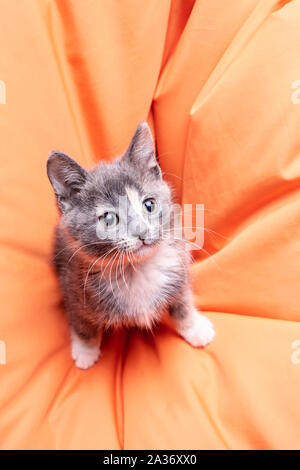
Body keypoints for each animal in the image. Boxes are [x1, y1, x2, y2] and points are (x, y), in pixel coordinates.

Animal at [47, 123, 214, 370]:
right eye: (108, 218)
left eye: (149, 204)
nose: (142, 232)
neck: (136, 269)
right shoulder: (73, 286)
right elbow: (82, 323)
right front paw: (85, 351)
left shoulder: (179, 270)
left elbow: (182, 302)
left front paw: (194, 327)